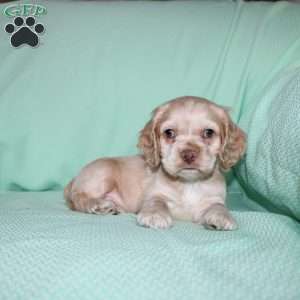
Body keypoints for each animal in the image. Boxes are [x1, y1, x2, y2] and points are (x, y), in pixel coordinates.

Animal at [63, 96, 246, 230]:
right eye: (169, 133)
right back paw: (99, 204)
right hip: (103, 171)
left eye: (208, 133)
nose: (188, 154)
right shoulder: (154, 194)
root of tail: (75, 179)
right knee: (79, 197)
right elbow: (156, 202)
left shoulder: (213, 199)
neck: (188, 183)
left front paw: (222, 217)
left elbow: (218, 206)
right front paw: (155, 215)